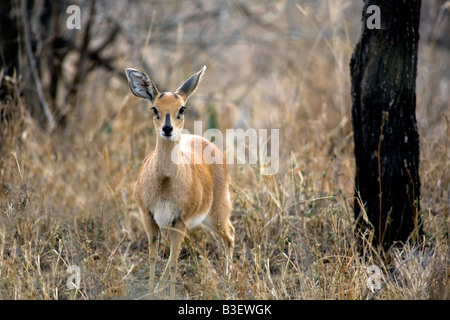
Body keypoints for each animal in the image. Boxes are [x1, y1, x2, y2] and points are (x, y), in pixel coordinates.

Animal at [125, 65, 234, 298]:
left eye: (182, 109)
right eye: (154, 108)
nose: (168, 129)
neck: (165, 182)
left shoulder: (179, 220)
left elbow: (174, 263)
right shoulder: (149, 217)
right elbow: (153, 259)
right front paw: (151, 292)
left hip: (216, 214)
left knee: (230, 235)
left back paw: (229, 280)